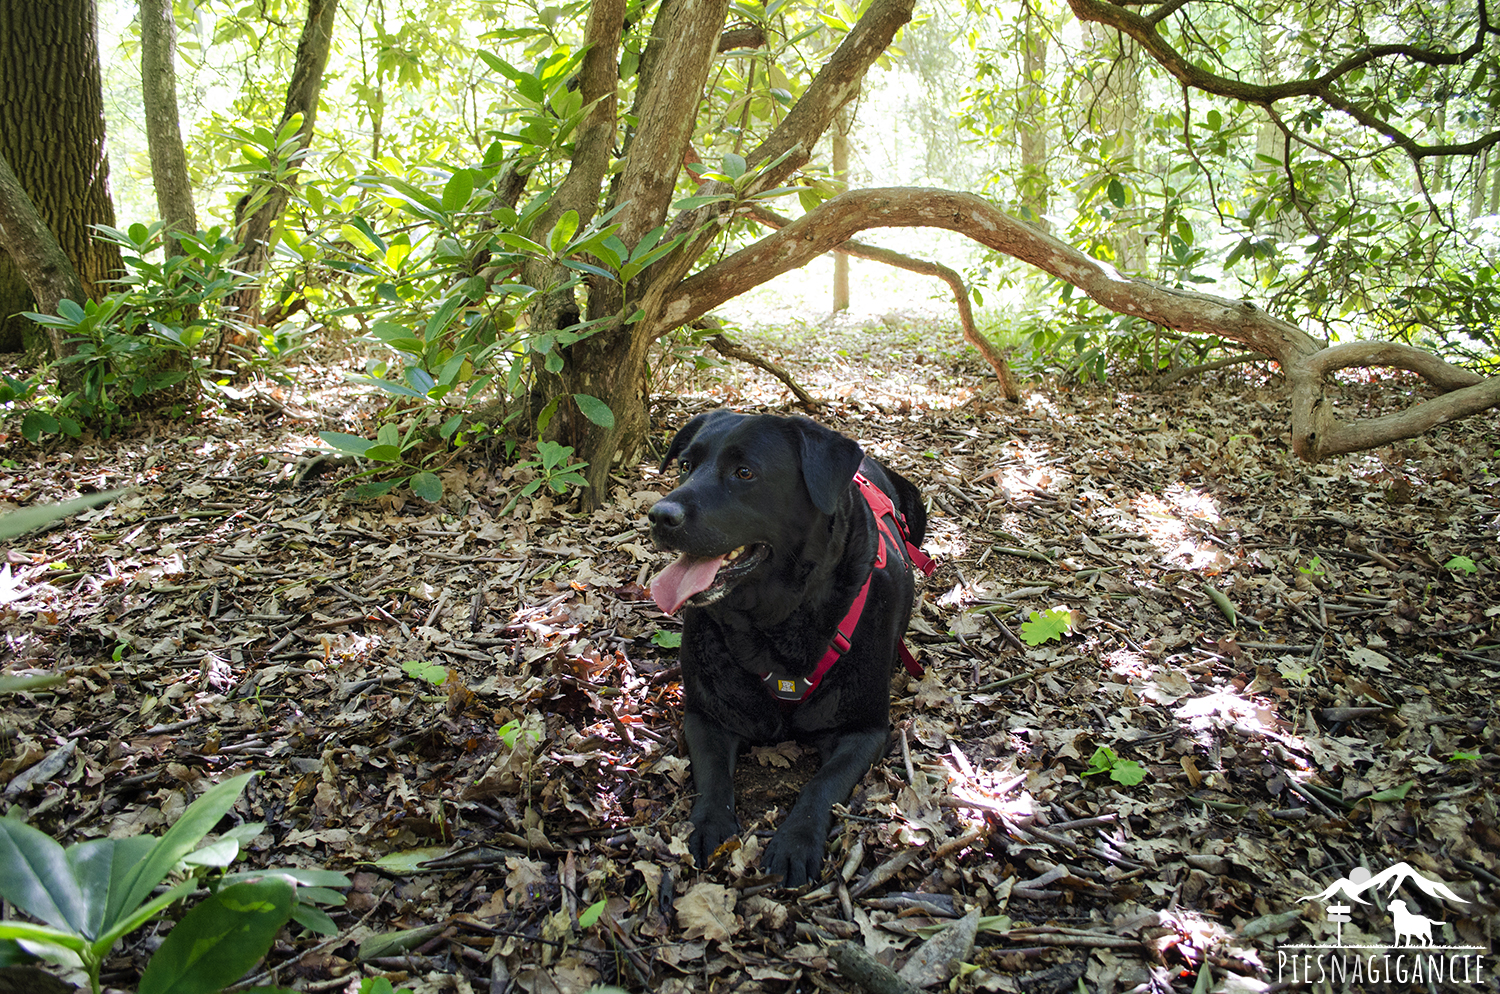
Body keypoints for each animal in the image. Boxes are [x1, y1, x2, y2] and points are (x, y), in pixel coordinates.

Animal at [645, 410, 924, 887]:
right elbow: (713, 776)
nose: (659, 515)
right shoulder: (706, 715)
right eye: (685, 465)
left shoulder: (865, 730)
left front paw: (796, 842)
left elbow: (823, 783)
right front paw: (709, 826)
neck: (774, 626)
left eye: (744, 472)